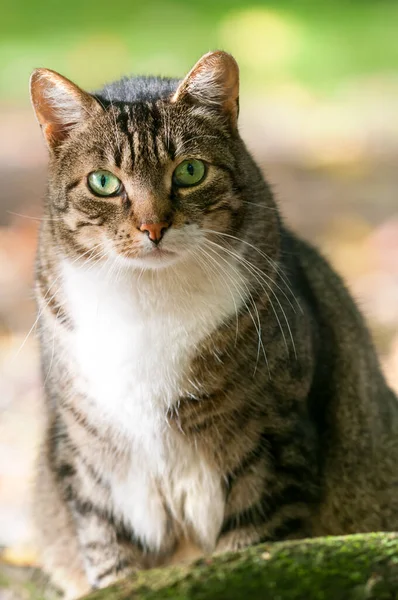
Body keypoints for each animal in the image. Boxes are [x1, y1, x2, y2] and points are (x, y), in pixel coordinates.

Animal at [28, 52, 398, 600]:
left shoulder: (270, 441)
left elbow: (250, 549)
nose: (153, 227)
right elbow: (108, 550)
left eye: (190, 171)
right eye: (103, 183)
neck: (146, 302)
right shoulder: (85, 453)